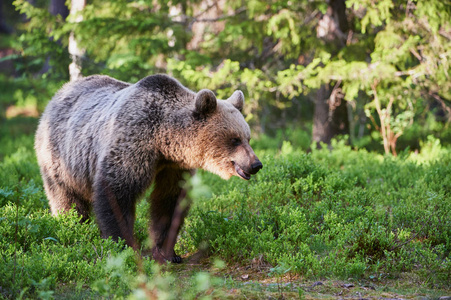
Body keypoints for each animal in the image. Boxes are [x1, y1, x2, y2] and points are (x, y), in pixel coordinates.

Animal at [35, 74, 264, 262]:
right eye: (234, 139)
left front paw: (167, 252)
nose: (256, 164)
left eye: (248, 137)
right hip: (60, 158)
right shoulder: (132, 144)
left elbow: (168, 202)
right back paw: (72, 229)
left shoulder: (174, 167)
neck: (163, 140)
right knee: (67, 199)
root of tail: (56, 96)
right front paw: (124, 246)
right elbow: (116, 193)